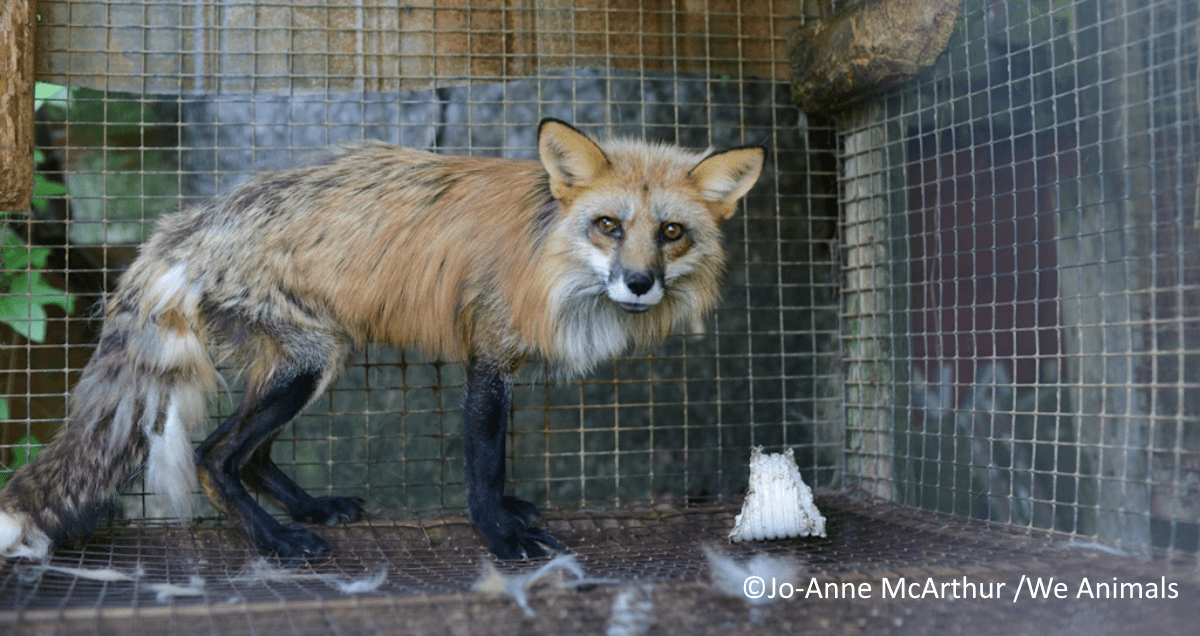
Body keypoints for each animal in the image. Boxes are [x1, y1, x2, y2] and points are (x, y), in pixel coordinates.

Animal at [0, 119, 765, 561]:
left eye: (671, 233)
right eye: (609, 225)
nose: (639, 283)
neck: (550, 255)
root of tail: (186, 225)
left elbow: (497, 464)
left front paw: (509, 516)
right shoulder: (489, 355)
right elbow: (485, 463)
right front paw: (500, 534)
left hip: (314, 359)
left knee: (251, 453)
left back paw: (310, 508)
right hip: (308, 362)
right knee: (213, 454)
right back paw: (277, 539)